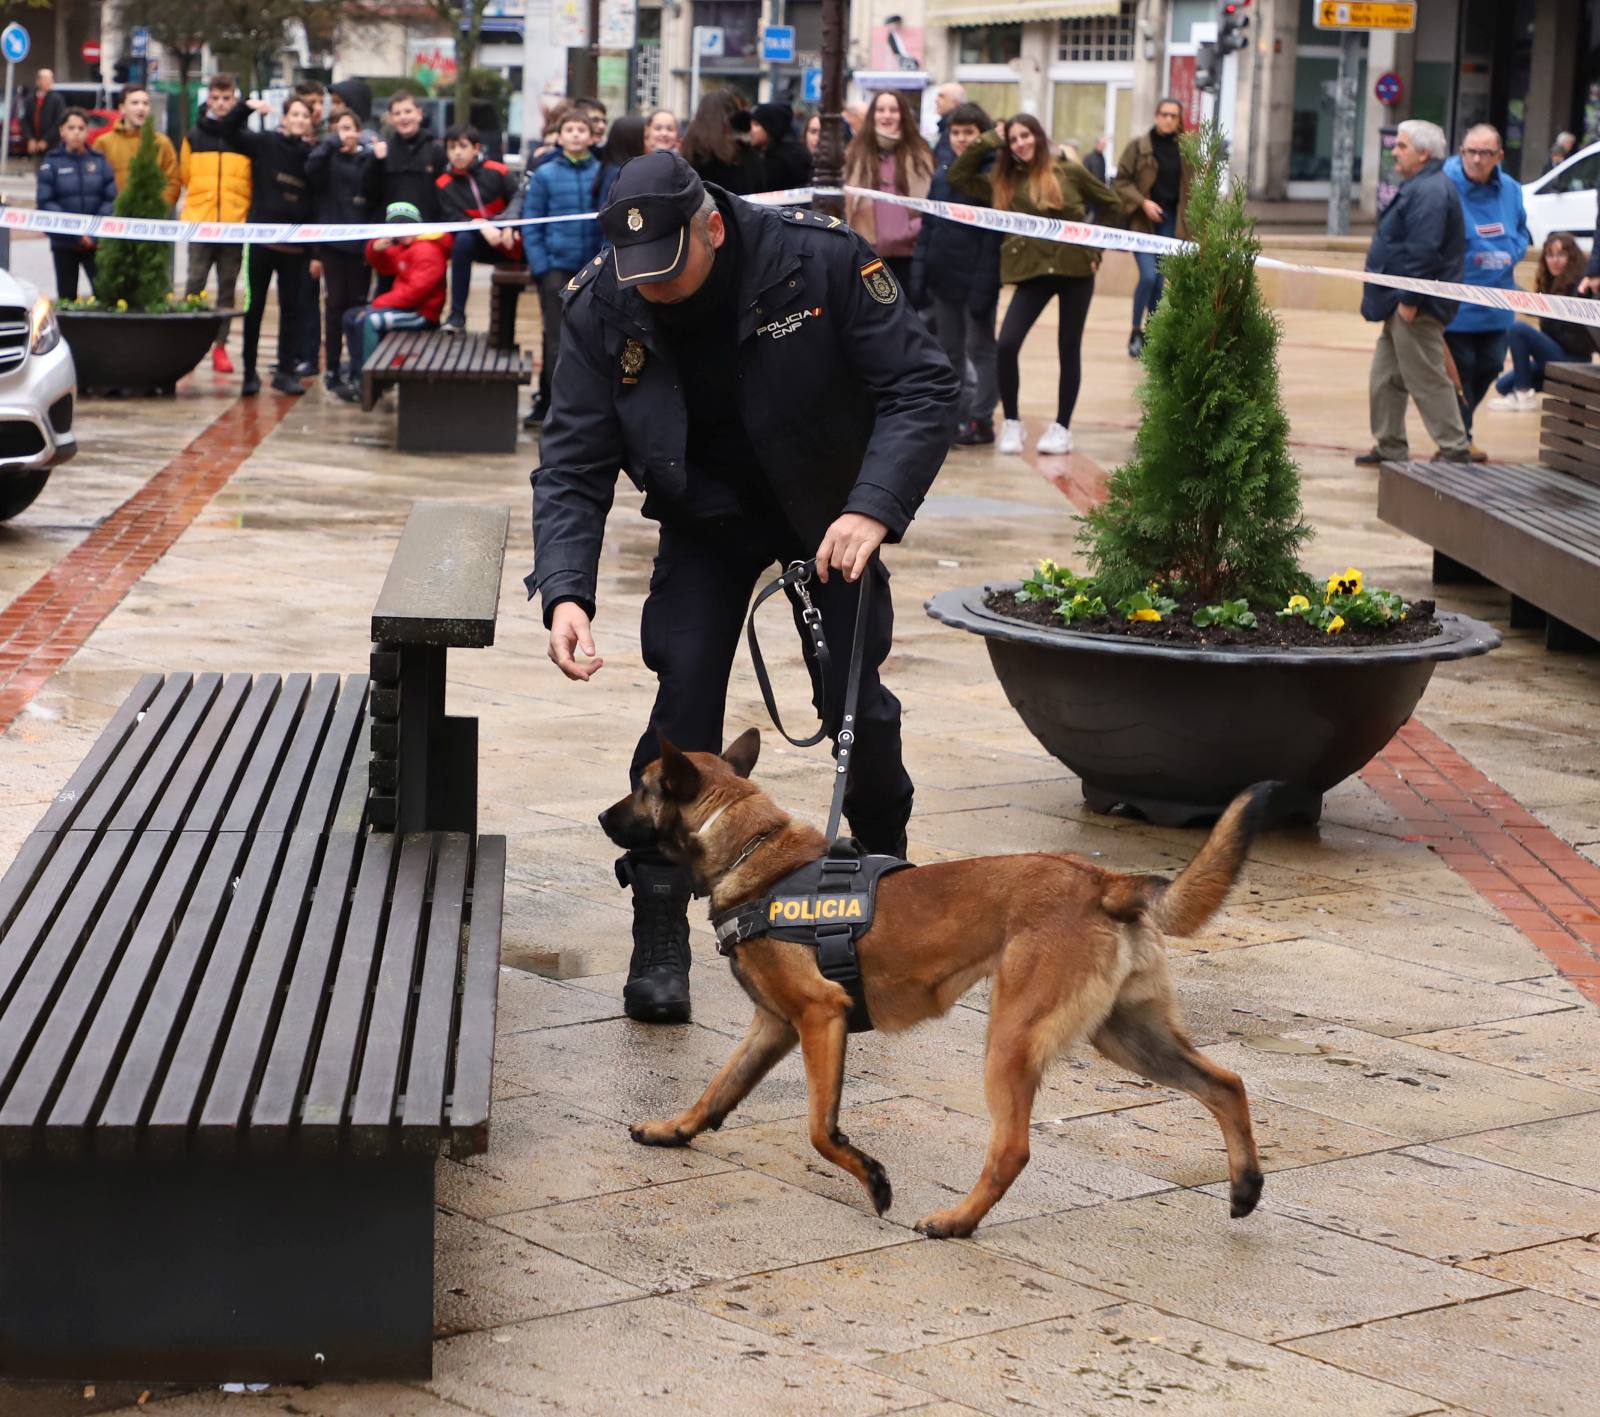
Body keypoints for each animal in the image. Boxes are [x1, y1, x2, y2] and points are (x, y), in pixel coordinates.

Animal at [601, 732, 1260, 1241]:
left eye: (641, 786)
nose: (604, 818)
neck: (750, 849)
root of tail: (1106, 882)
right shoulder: (774, 1026)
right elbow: (718, 1089)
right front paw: (672, 1130)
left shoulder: (820, 1015)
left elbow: (819, 1129)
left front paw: (873, 1178)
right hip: (1128, 1035)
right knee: (1225, 1084)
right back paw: (1247, 1186)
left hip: (1014, 1040)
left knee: (1012, 1149)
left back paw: (956, 1222)